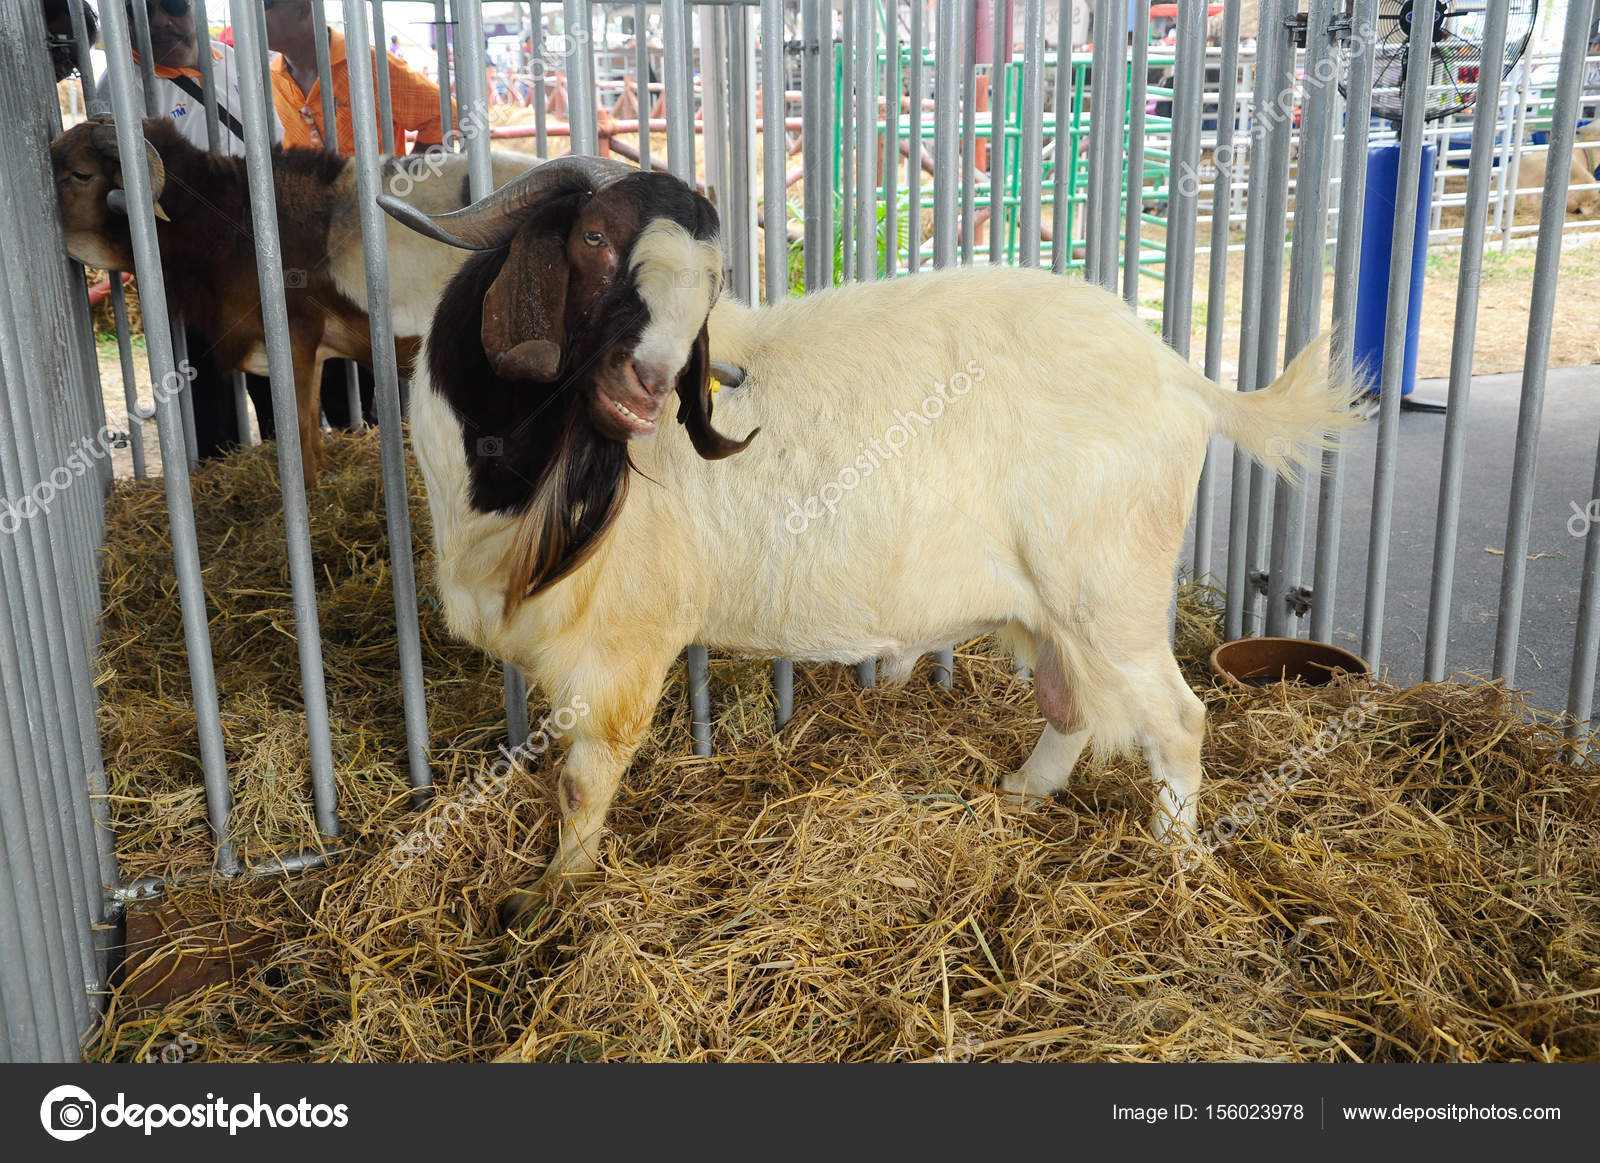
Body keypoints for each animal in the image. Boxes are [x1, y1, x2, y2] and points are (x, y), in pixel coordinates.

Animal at [381, 159, 1360, 927]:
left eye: (710, 281)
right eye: (591, 236)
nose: (652, 383)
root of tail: (1187, 378)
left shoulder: (621, 643)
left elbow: (586, 779)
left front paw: (549, 893)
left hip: (1109, 593)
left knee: (1177, 718)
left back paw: (1172, 861)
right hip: (1052, 607)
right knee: (1075, 703)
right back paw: (1022, 790)